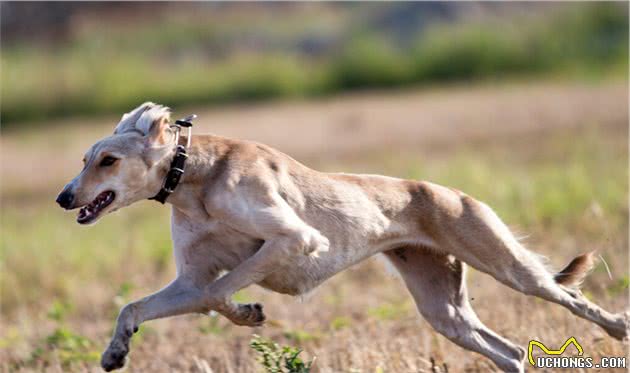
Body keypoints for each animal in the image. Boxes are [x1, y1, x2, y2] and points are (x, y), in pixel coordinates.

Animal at [56, 102, 628, 372]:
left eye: (108, 160)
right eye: (84, 158)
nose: (64, 197)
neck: (195, 177)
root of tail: (452, 192)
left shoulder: (296, 239)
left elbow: (220, 292)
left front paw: (248, 312)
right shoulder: (190, 279)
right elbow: (137, 306)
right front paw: (115, 352)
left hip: (510, 267)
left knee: (573, 299)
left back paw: (618, 328)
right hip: (443, 310)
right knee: (507, 352)